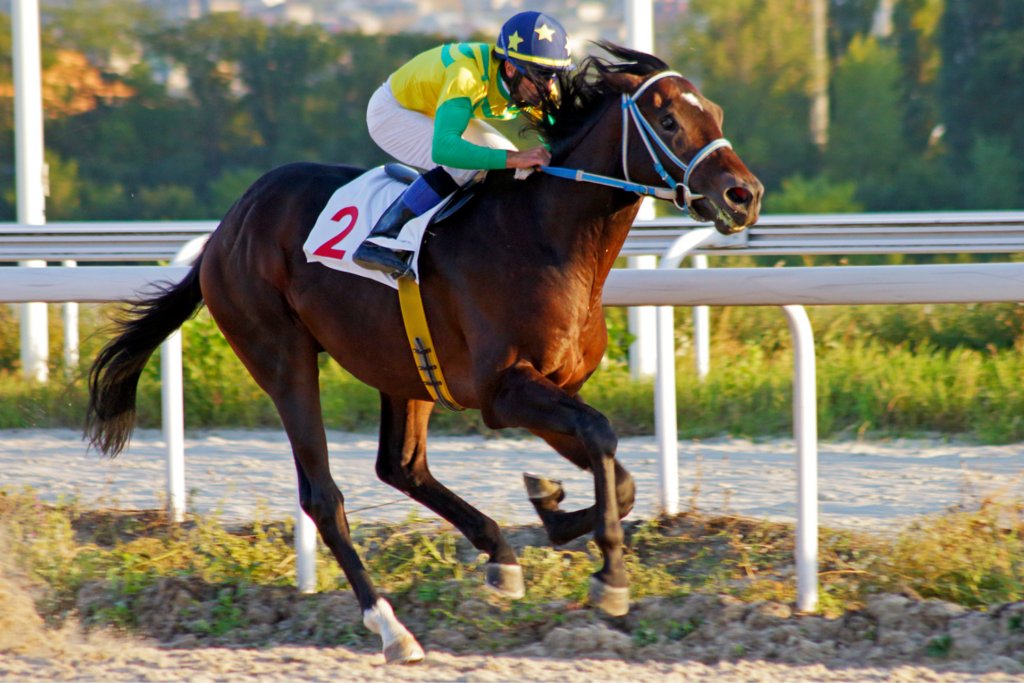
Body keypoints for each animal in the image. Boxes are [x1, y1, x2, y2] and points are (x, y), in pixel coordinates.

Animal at [85, 42, 762, 663]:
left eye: (716, 113)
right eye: (668, 119)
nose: (744, 195)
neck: (546, 238)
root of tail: (226, 228)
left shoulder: (552, 386)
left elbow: (617, 474)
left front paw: (551, 507)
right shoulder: (503, 390)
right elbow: (601, 437)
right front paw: (610, 576)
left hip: (404, 369)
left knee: (401, 467)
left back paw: (499, 554)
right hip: (281, 355)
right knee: (323, 496)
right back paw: (391, 627)